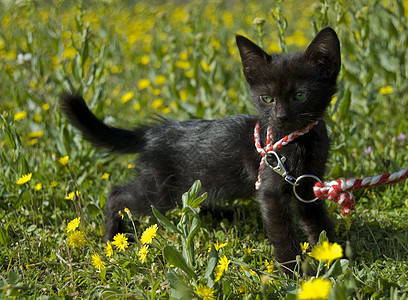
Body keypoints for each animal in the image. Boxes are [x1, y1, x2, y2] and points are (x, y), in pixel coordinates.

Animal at [59, 27, 342, 270]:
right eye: (267, 98)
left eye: (300, 95)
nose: (281, 117)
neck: (296, 141)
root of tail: (152, 132)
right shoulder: (271, 192)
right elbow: (282, 235)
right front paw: (294, 275)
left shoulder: (307, 185)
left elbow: (317, 222)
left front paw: (334, 257)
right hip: (161, 192)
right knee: (117, 193)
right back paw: (112, 238)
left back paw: (227, 214)